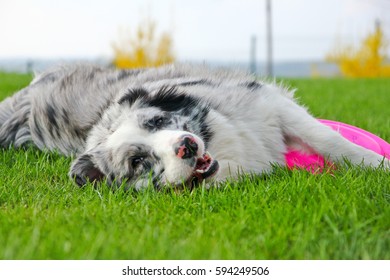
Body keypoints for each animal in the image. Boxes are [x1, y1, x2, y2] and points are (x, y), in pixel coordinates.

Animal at [0, 64, 388, 189]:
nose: (186, 145)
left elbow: (330, 141)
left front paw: (378, 164)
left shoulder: (270, 106)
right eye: (138, 162)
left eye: (157, 120)